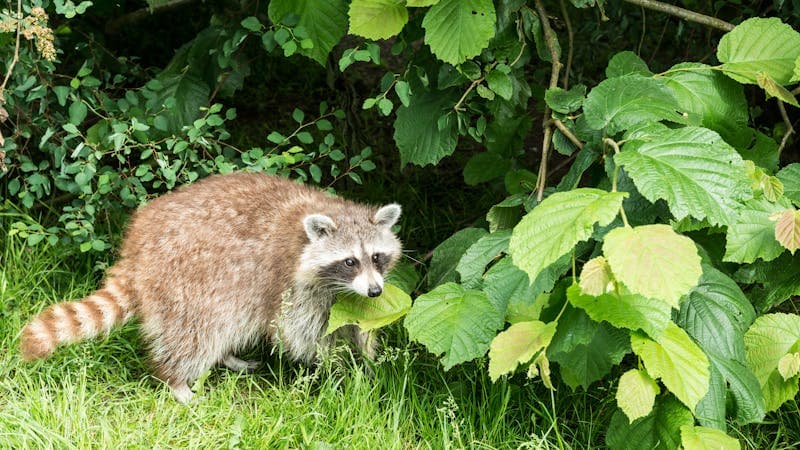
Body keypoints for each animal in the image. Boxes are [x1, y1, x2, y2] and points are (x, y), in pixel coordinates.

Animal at [19, 173, 402, 403]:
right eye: (350, 261)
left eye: (376, 257)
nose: (375, 292)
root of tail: (137, 245)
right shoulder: (291, 283)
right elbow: (300, 332)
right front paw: (337, 366)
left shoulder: (343, 294)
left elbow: (357, 323)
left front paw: (367, 356)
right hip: (189, 277)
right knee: (194, 332)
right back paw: (176, 380)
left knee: (226, 323)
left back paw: (226, 356)